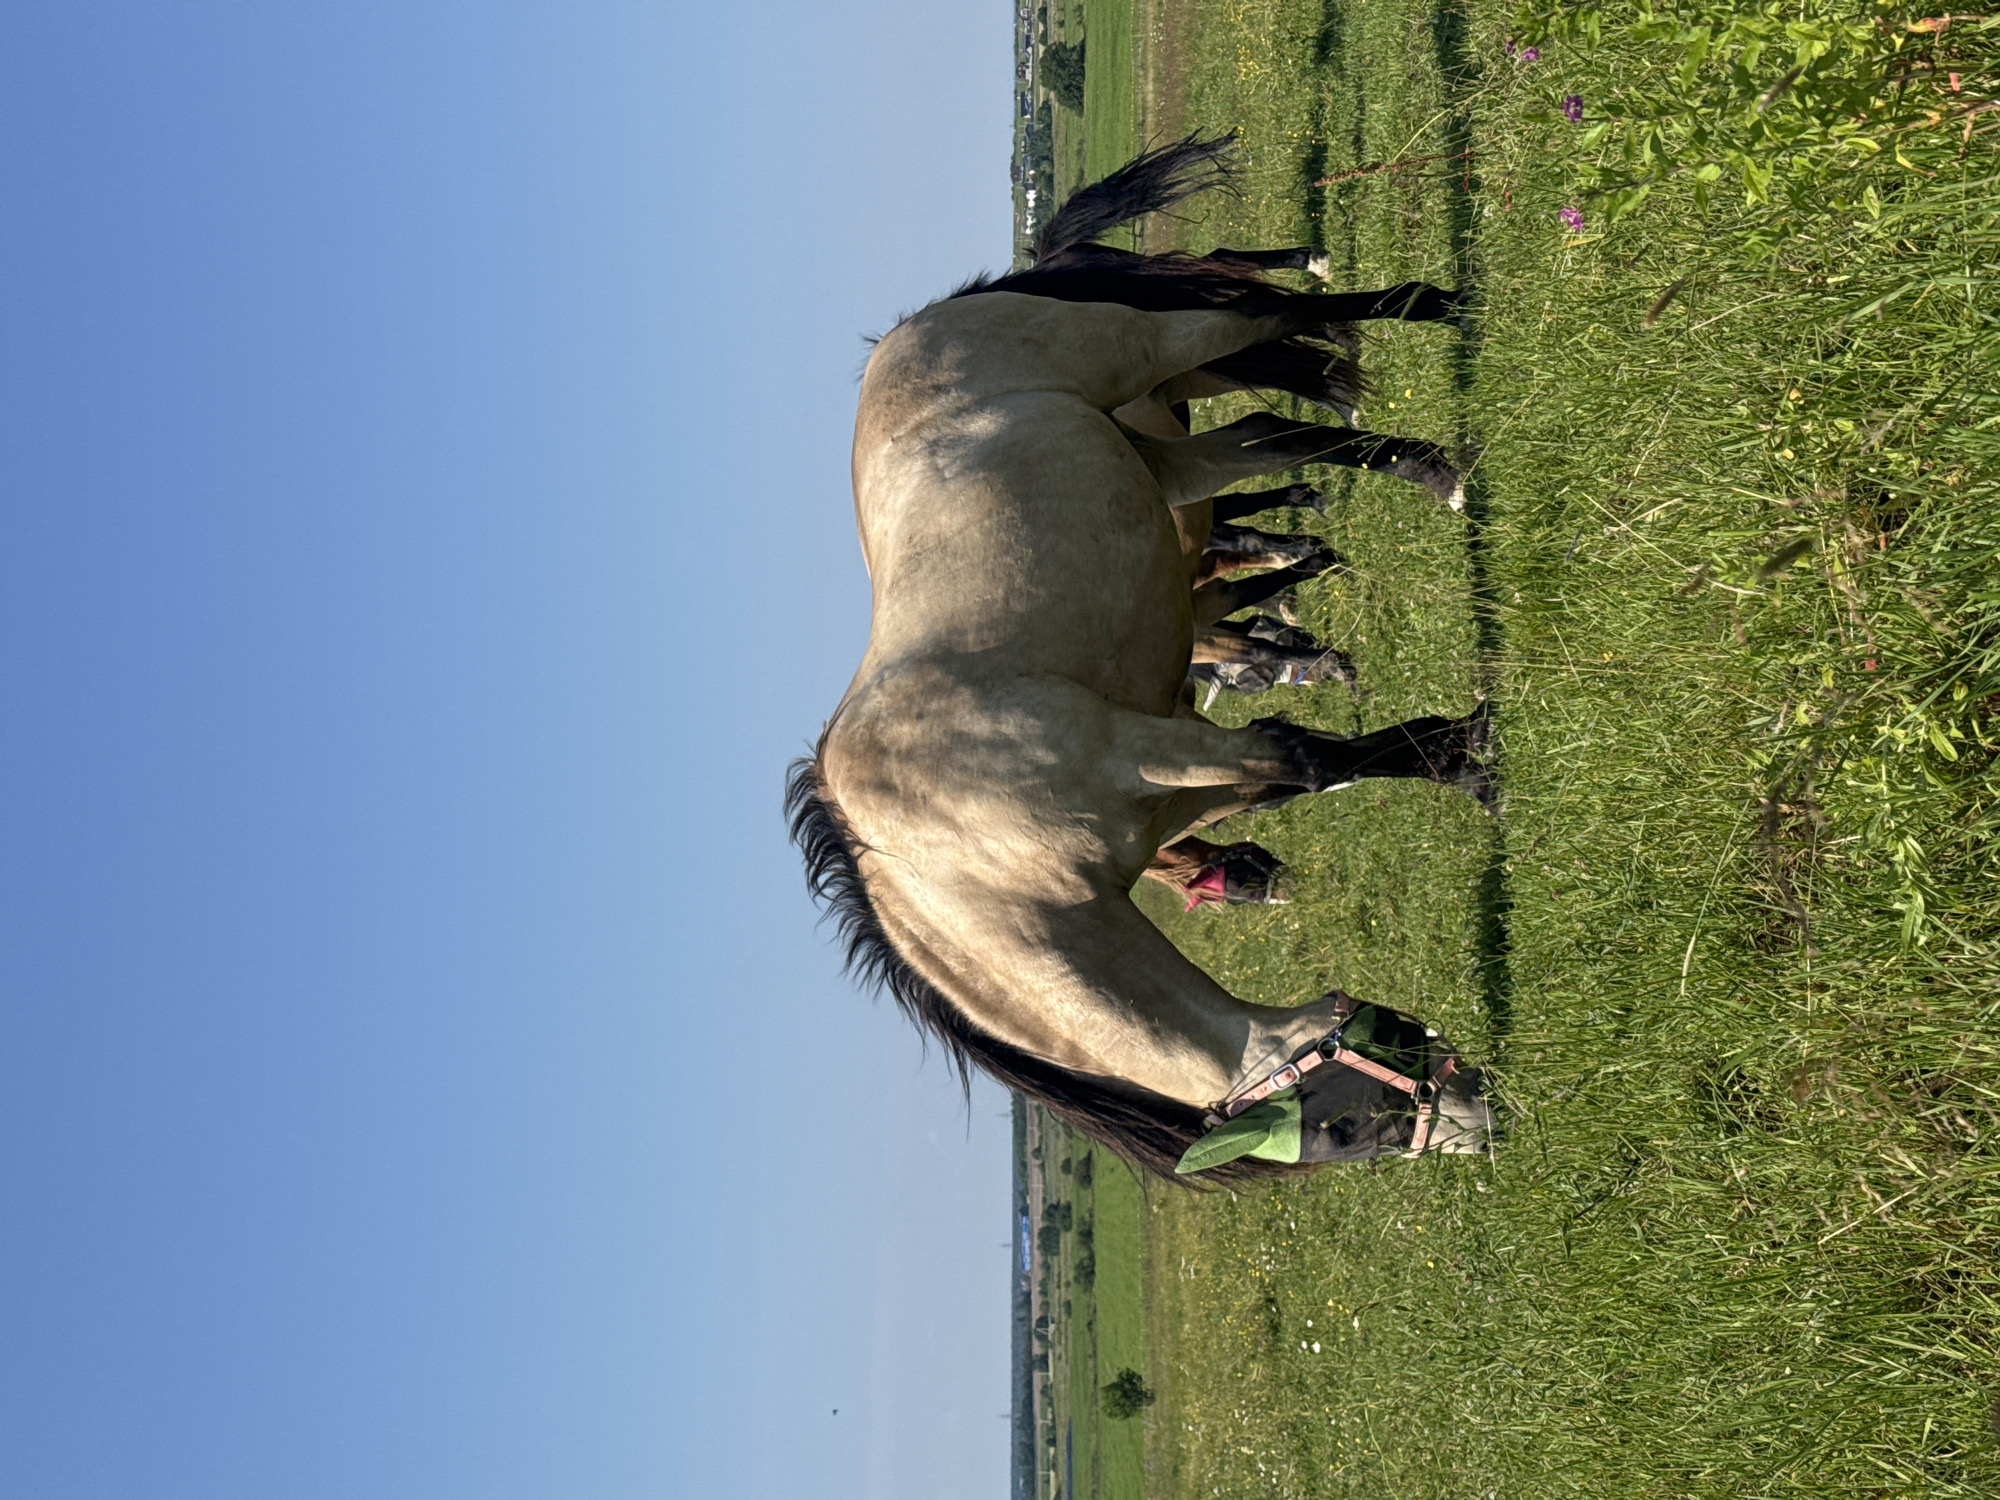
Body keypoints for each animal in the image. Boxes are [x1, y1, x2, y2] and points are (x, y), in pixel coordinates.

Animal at [789, 136, 1493, 1180]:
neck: (967, 857)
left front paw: (1469, 762)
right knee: (1275, 433)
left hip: (1155, 349)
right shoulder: (1189, 784)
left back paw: (1430, 327)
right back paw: (1422, 460)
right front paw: (1457, 752)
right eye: (1344, 1131)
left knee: (1276, 317)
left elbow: (1312, 757)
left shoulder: (1156, 749)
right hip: (1171, 461)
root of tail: (919, 327)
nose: (1484, 1115)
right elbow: (1316, 768)